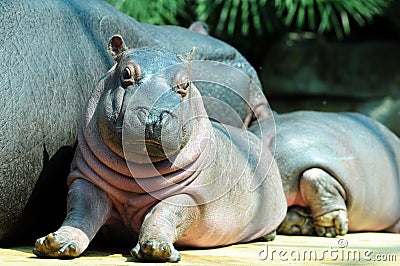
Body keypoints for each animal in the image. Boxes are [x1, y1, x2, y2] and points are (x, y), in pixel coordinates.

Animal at [32, 35, 288, 262]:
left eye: (185, 84)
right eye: (126, 74)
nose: (154, 117)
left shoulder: (189, 194)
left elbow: (162, 214)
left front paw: (156, 249)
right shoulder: (87, 179)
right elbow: (80, 212)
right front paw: (54, 243)